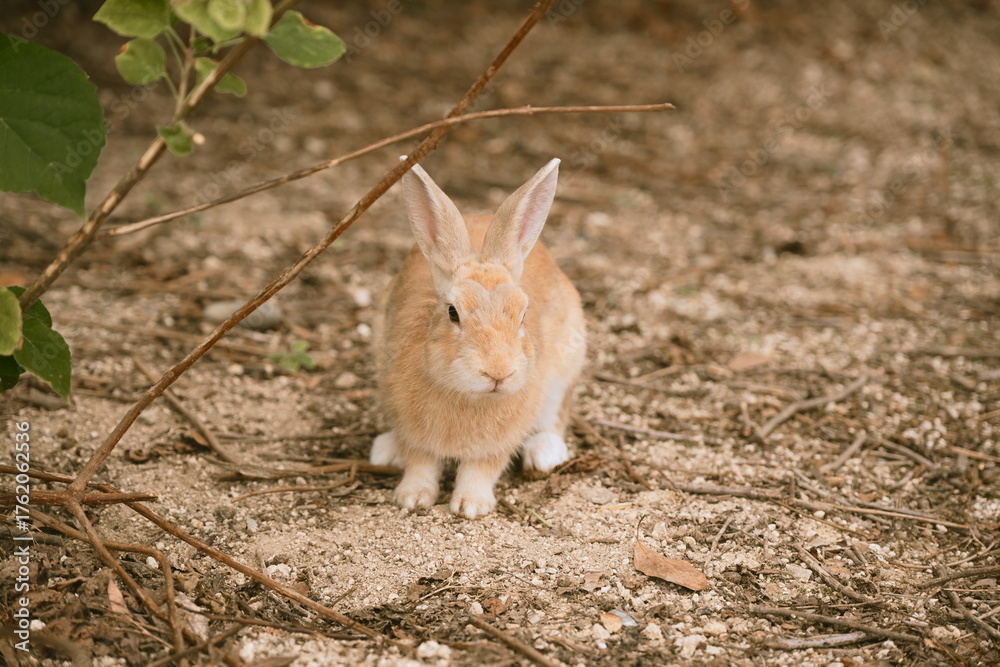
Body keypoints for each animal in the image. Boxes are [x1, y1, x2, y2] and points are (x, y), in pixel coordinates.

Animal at [370, 158, 586, 519]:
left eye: (523, 314)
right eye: (453, 312)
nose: (498, 372)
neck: (469, 396)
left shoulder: (496, 445)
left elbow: (481, 469)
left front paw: (471, 506)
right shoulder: (413, 431)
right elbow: (420, 463)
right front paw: (412, 497)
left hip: (566, 366)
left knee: (556, 415)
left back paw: (544, 453)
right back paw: (386, 450)